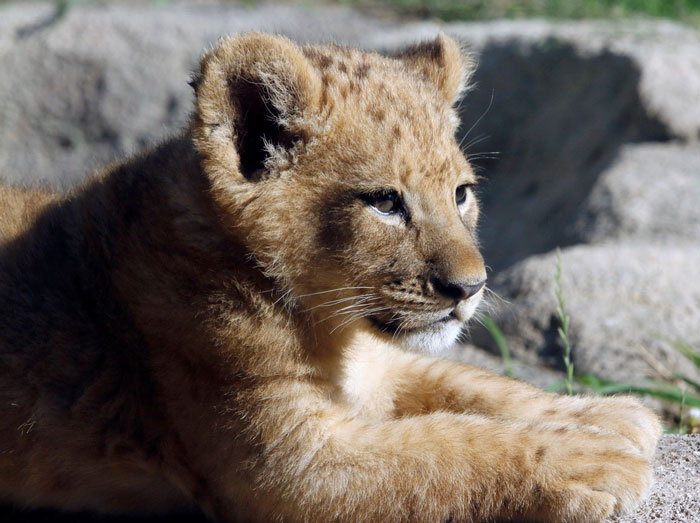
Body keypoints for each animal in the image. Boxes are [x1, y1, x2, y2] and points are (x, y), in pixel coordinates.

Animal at [0, 33, 660, 522]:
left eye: (461, 193)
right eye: (386, 202)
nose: (470, 289)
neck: (337, 332)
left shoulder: (386, 367)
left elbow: (476, 386)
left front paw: (611, 416)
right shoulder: (289, 468)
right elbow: (446, 451)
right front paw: (592, 462)